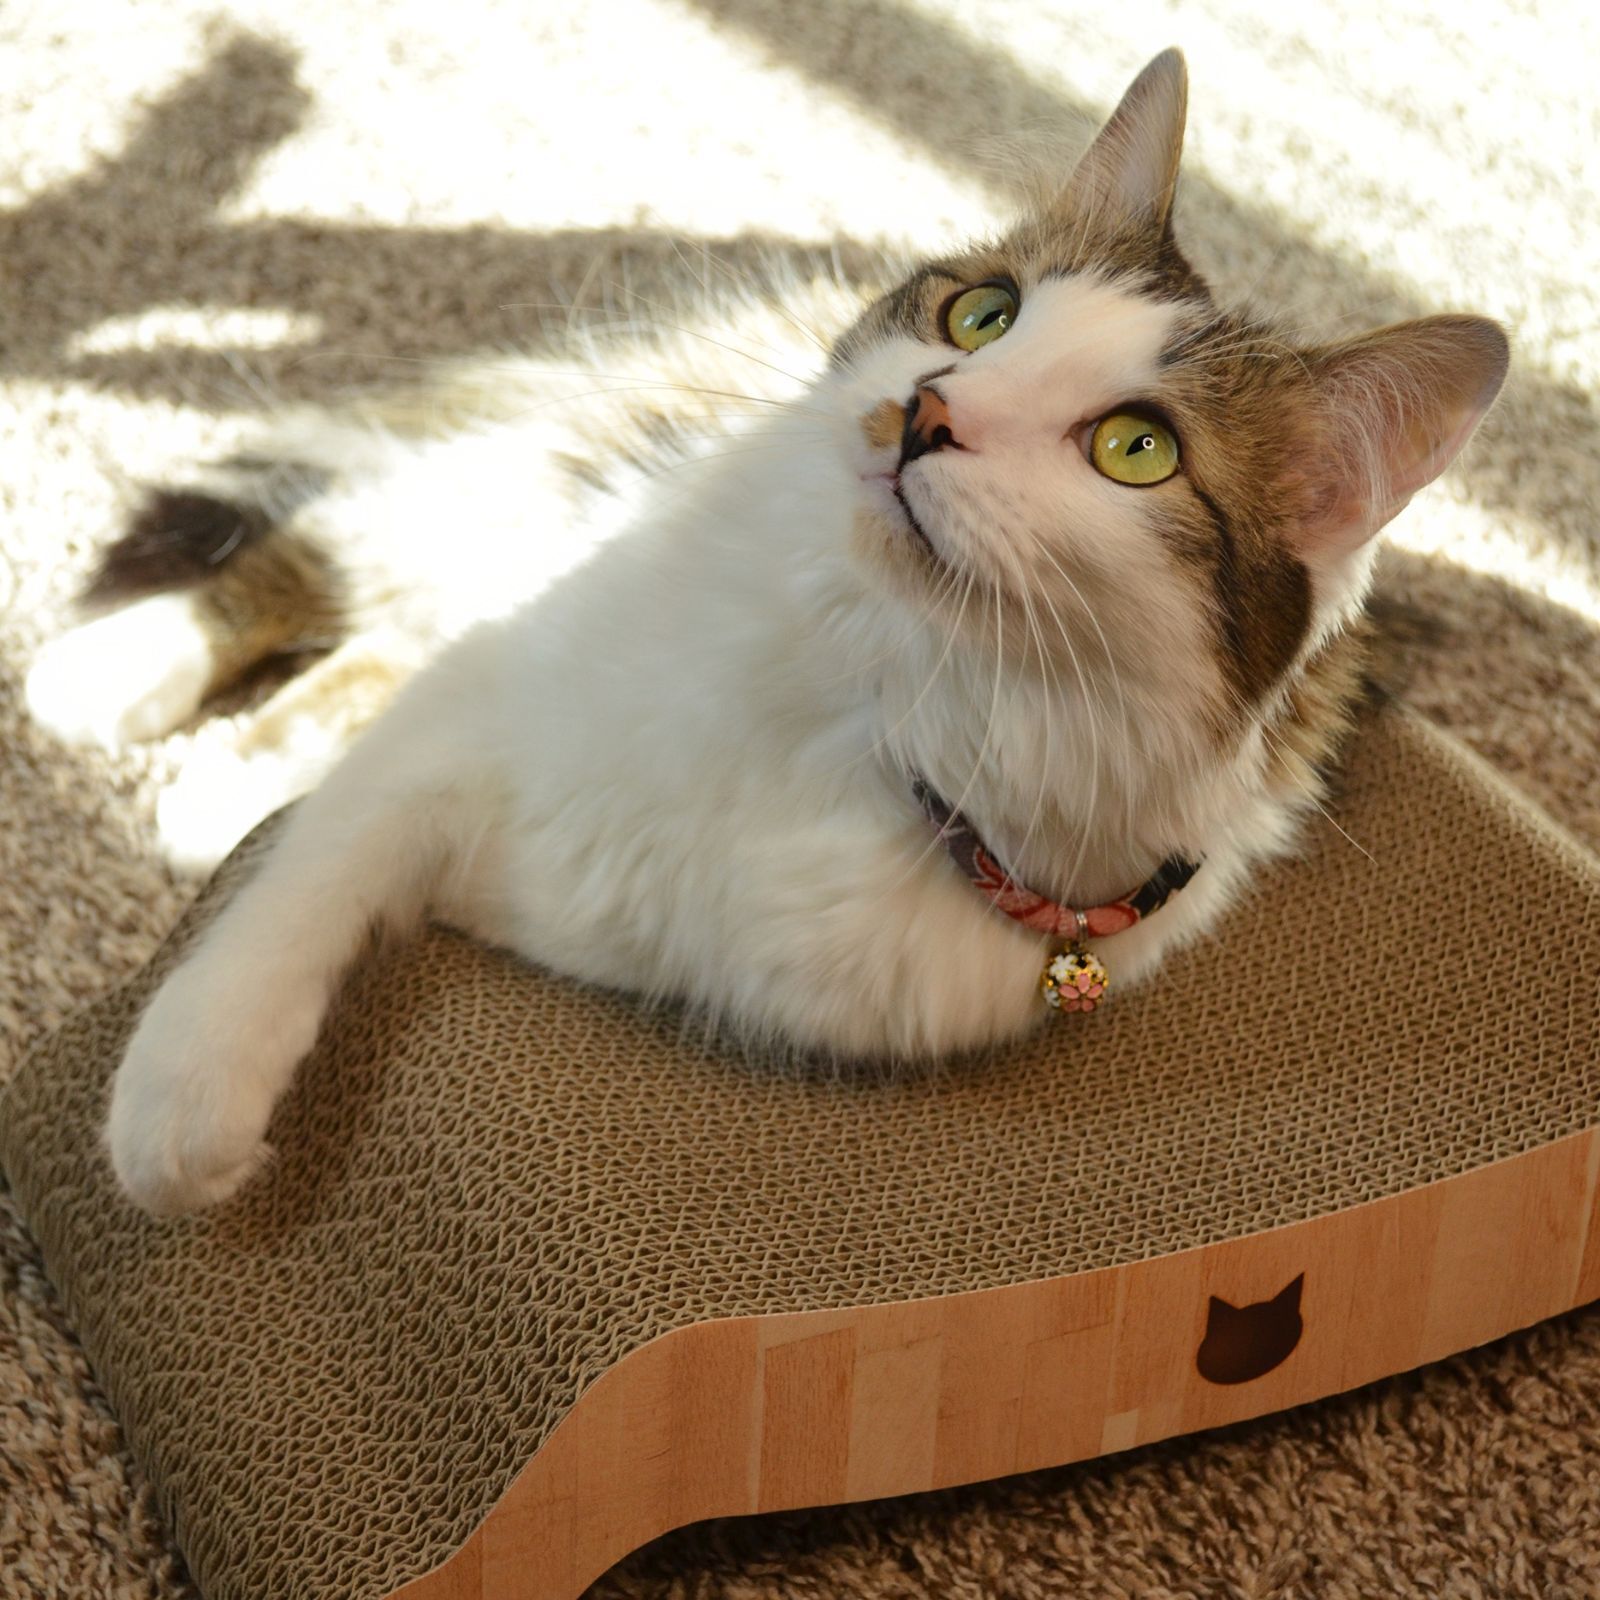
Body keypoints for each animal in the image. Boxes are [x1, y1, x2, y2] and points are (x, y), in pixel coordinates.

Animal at [31, 56, 1504, 1216]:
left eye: (1135, 450)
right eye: (984, 314)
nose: (928, 408)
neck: (873, 692)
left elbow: (357, 808)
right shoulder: (490, 706)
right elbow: (301, 898)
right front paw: (181, 1102)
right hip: (539, 471)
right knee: (330, 553)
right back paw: (110, 679)